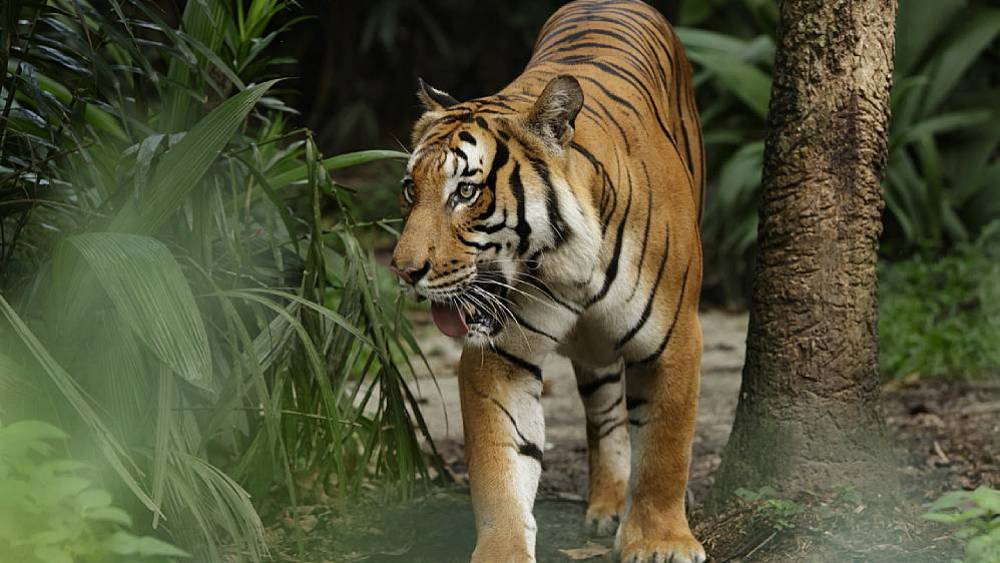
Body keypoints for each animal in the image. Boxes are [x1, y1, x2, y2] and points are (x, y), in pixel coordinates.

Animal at [390, 1, 705, 561]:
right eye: (411, 189)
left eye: (466, 192)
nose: (404, 271)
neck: (568, 264)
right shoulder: (501, 355)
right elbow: (502, 468)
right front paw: (503, 551)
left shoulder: (676, 337)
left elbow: (667, 444)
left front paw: (661, 541)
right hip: (594, 352)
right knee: (604, 414)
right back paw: (606, 505)